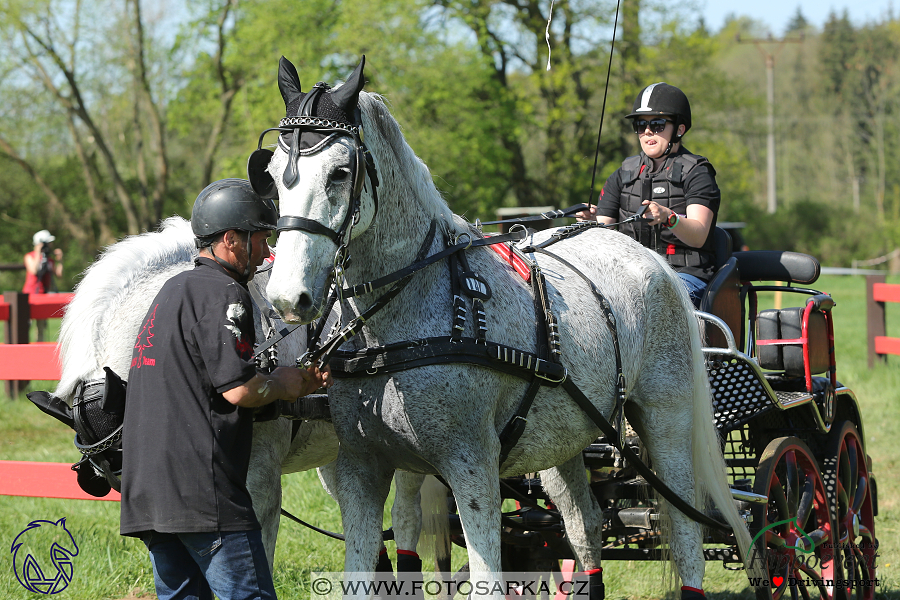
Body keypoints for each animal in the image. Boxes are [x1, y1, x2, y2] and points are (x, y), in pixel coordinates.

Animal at [262, 57, 768, 600]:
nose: (287, 297)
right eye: (272, 177)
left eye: (339, 172)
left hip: (668, 417)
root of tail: (650, 257)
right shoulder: (360, 468)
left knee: (685, 524)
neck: (396, 329)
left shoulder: (471, 466)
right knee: (585, 524)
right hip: (569, 437)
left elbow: (487, 576)